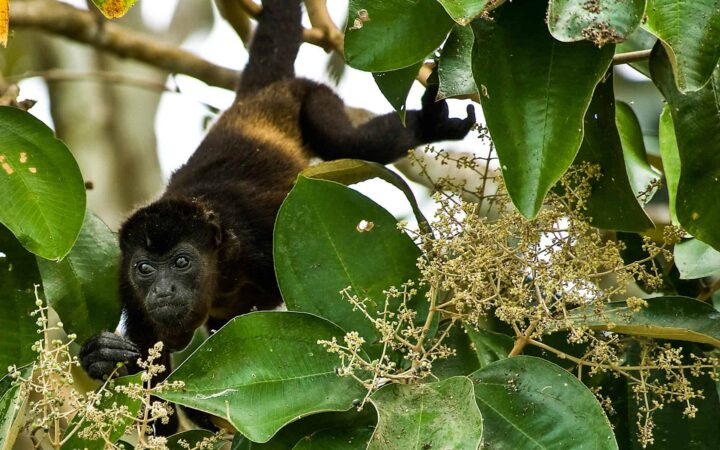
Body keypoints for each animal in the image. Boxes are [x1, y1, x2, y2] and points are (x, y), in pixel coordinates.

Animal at [79, 0, 474, 412]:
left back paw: (426, 124)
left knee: (346, 142)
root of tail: (254, 99)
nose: (162, 291)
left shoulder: (259, 244)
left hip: (312, 97)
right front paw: (101, 357)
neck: (220, 264)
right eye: (144, 268)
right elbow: (151, 392)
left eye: (181, 262)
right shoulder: (127, 288)